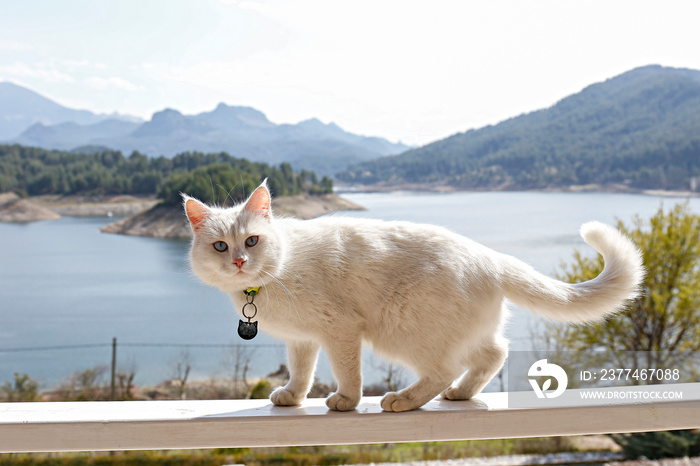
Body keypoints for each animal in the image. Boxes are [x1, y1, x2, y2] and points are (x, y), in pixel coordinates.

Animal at [183, 182, 644, 412]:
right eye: (221, 246)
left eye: (252, 240)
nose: (239, 261)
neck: (270, 279)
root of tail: (491, 257)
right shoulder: (302, 340)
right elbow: (302, 373)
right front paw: (292, 398)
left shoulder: (340, 330)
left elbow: (347, 373)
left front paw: (346, 401)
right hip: (458, 332)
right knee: (493, 354)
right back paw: (461, 394)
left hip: (399, 329)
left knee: (444, 369)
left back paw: (402, 400)